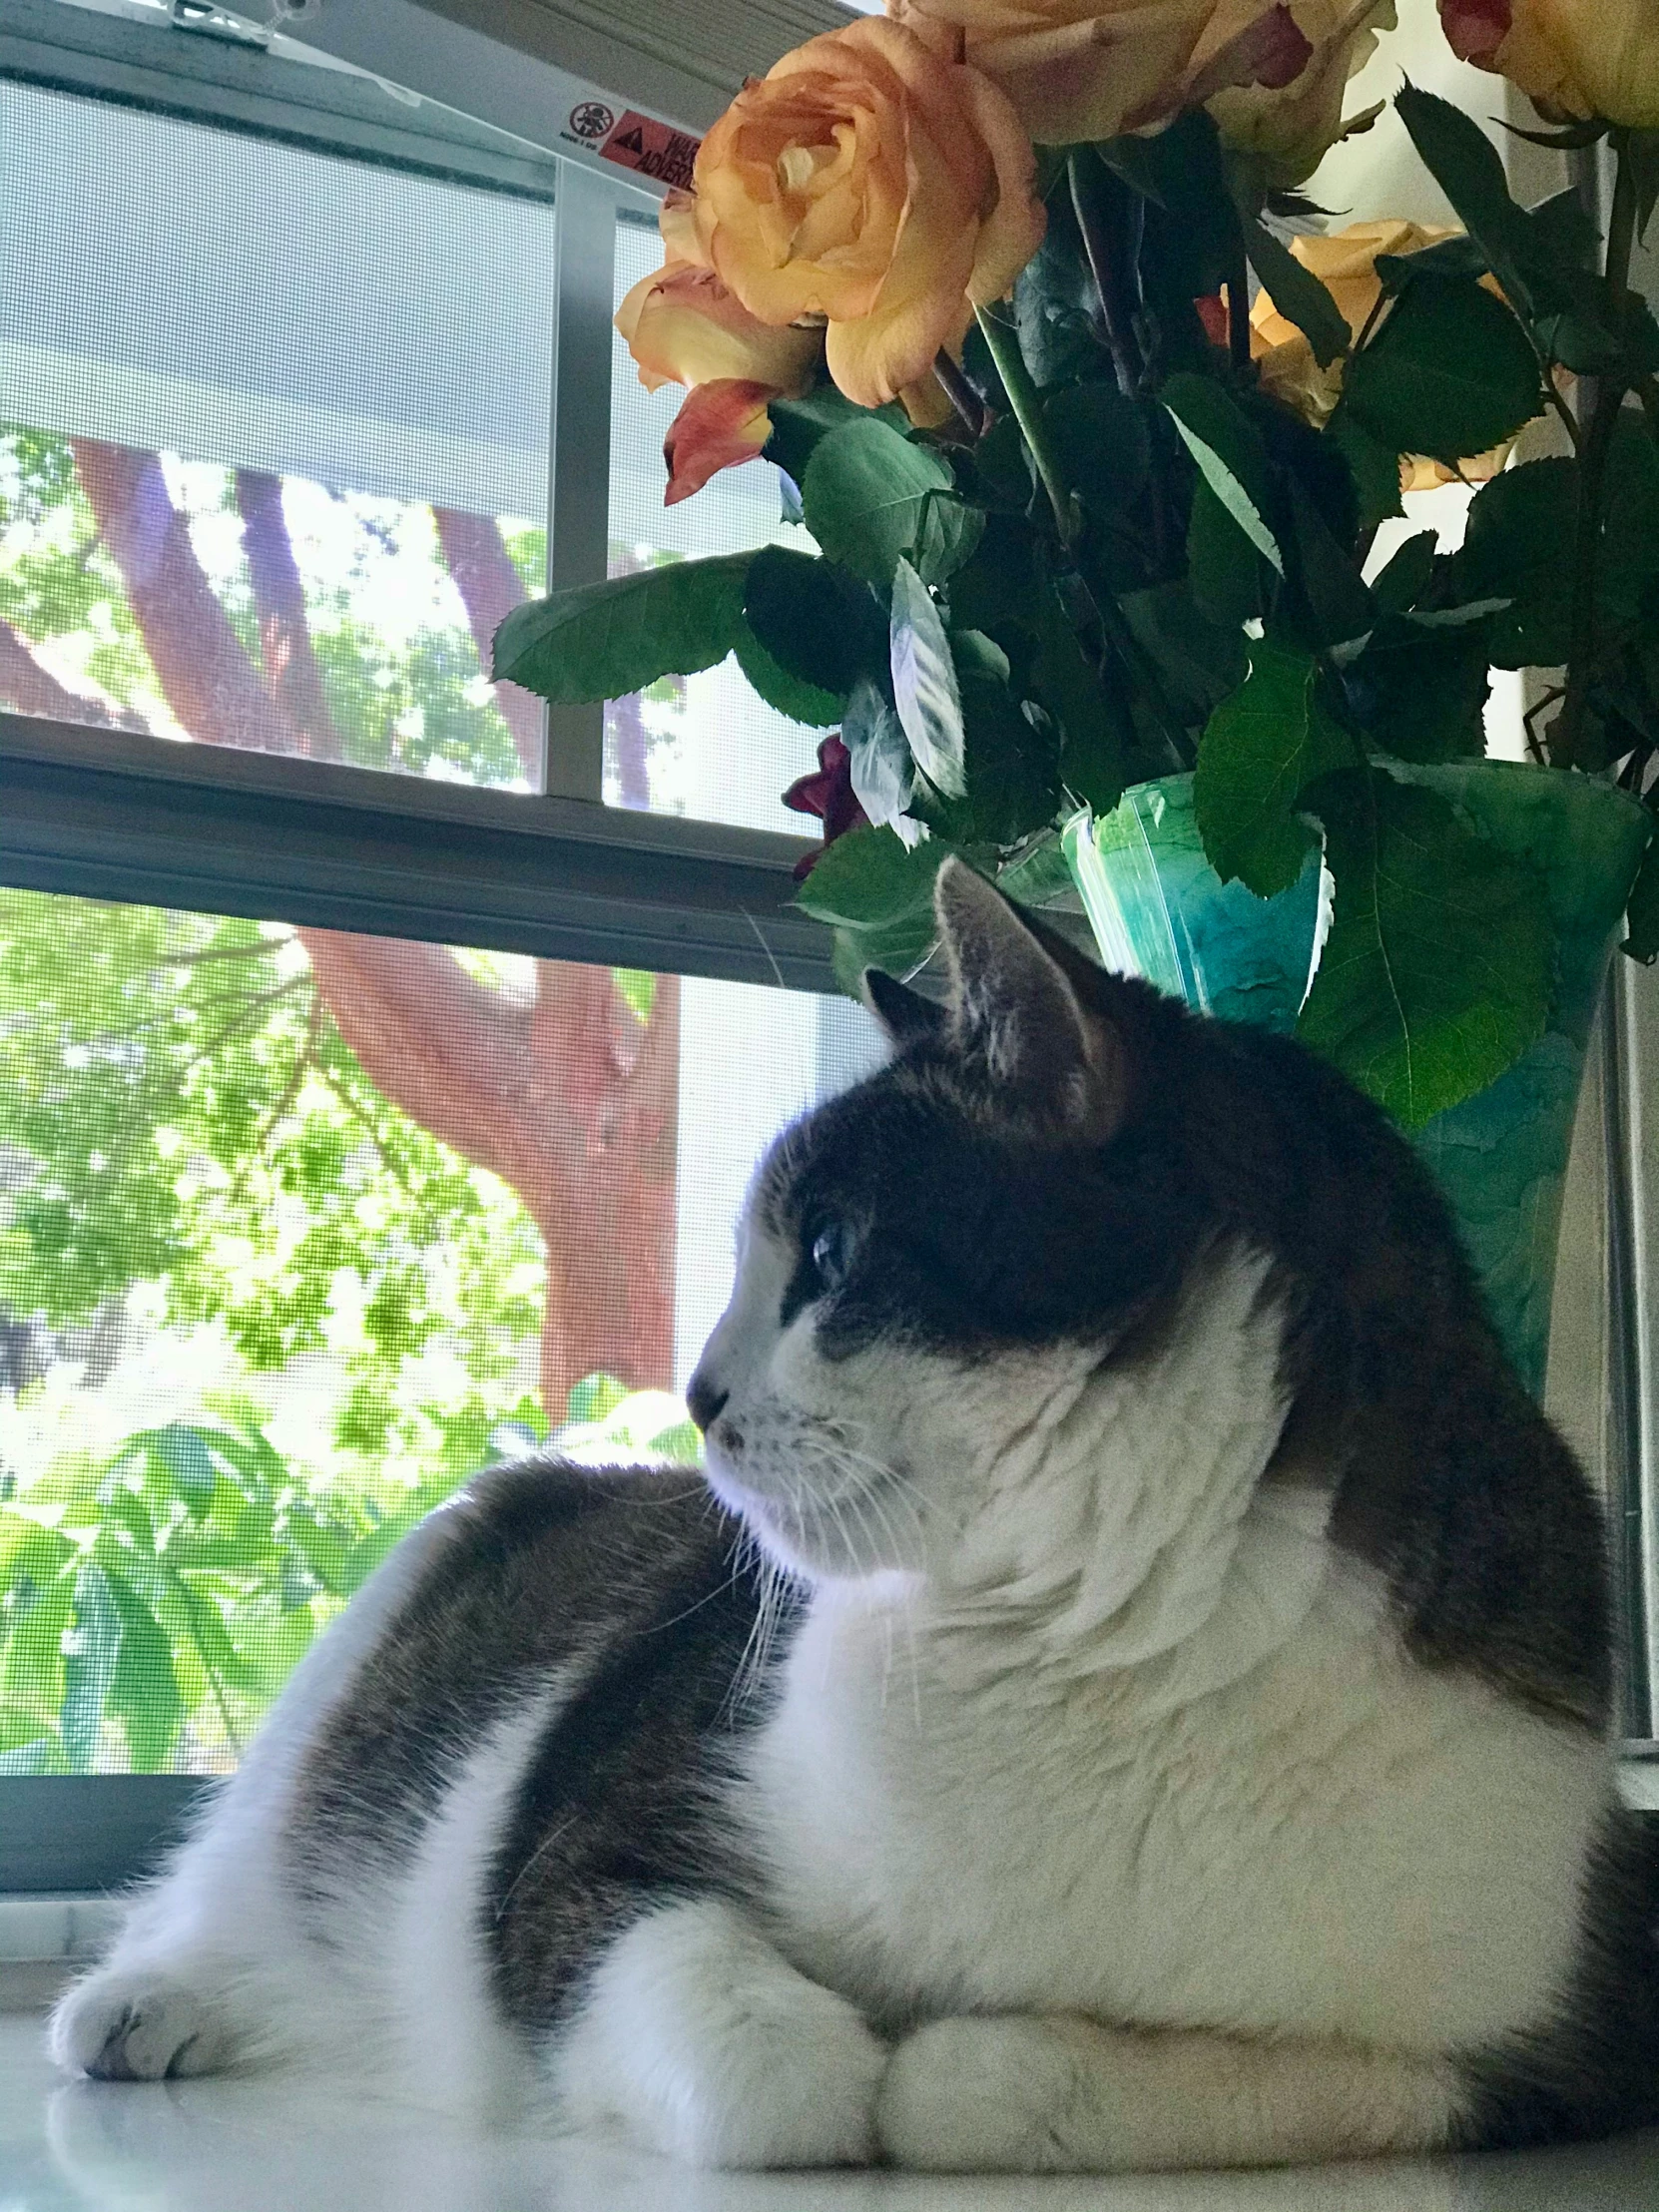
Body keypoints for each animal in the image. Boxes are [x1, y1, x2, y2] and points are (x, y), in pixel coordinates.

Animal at [48, 857, 1659, 2158]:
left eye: (824, 1254)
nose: (693, 1392)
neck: (1108, 1637)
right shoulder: (576, 1855)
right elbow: (792, 2080)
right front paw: (853, 2058)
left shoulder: (1552, 2034)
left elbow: (1048, 2084)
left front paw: (971, 2058)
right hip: (388, 1626)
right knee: (233, 1865)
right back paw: (143, 2005)